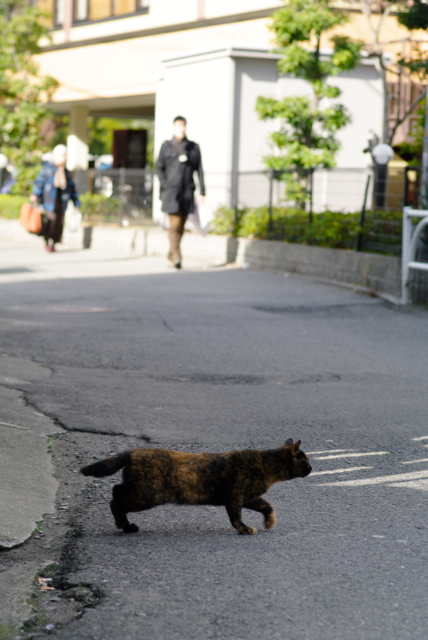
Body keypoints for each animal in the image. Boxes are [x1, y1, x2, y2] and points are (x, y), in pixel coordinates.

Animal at [80, 438, 312, 535]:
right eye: (306, 460)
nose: (311, 468)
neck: (266, 464)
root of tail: (133, 451)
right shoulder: (235, 497)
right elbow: (236, 517)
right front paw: (244, 529)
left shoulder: (250, 497)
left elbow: (267, 506)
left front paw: (269, 522)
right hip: (146, 495)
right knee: (115, 496)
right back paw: (124, 525)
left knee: (116, 493)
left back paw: (126, 526)